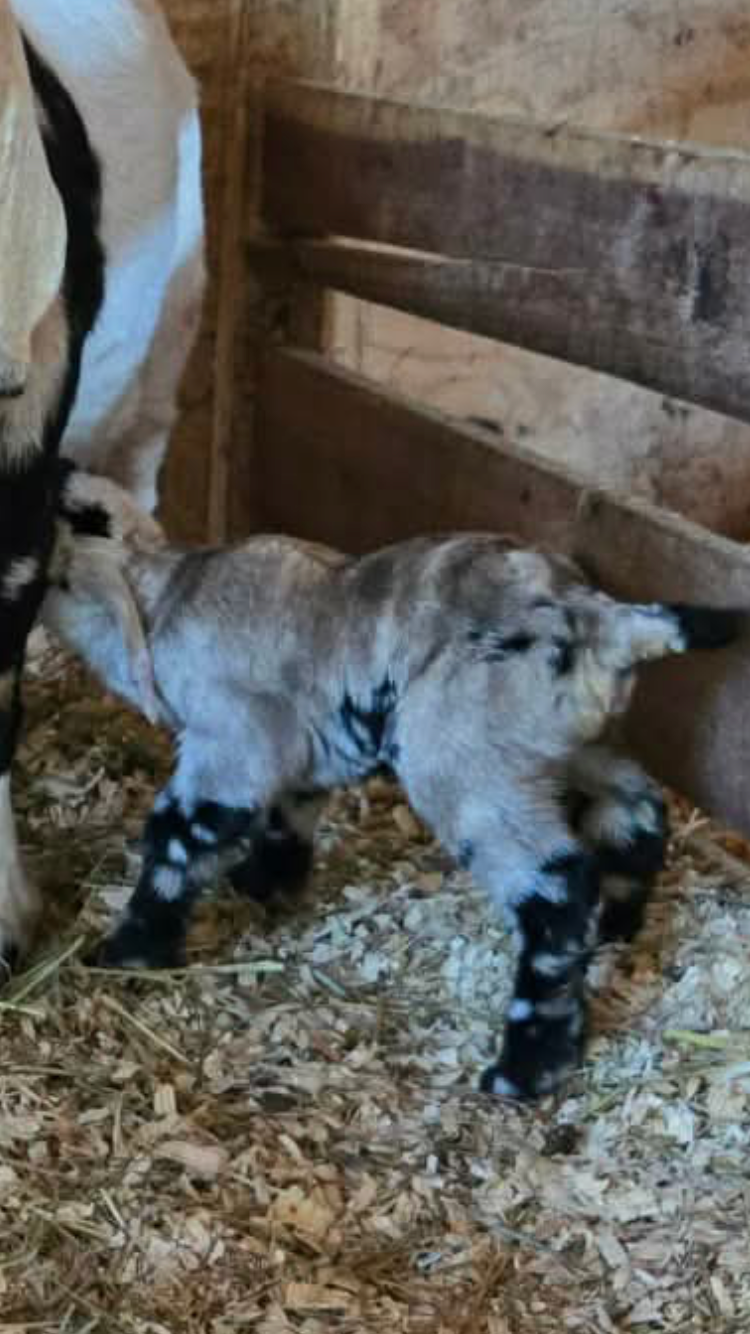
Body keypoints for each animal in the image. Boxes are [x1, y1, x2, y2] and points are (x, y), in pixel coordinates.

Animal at [43, 467, 739, 1099]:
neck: (164, 598)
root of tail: (602, 619)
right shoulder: (302, 751)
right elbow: (289, 817)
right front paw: (265, 886)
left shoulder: (232, 745)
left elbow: (178, 840)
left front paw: (134, 949)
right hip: (572, 747)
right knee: (637, 812)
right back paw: (617, 929)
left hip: (466, 766)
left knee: (556, 891)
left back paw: (530, 1064)